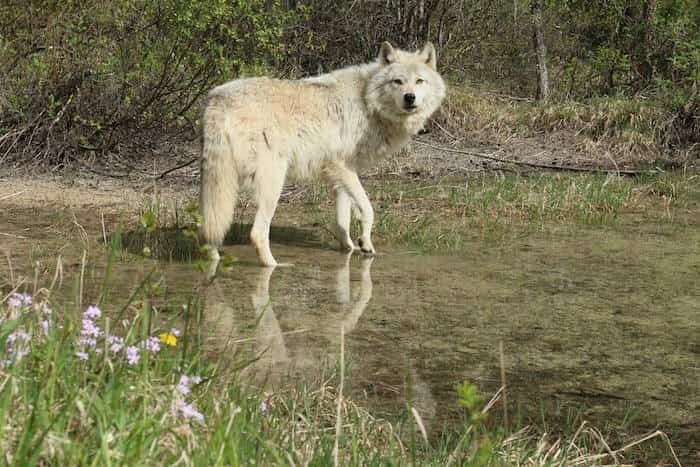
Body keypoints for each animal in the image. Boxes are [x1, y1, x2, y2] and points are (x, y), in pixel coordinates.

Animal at [200, 42, 446, 268]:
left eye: (419, 81)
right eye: (398, 81)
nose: (410, 97)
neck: (367, 101)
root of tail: (218, 99)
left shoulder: (342, 174)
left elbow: (342, 220)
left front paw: (349, 249)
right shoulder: (342, 167)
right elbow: (368, 210)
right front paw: (366, 244)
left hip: (220, 186)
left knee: (212, 229)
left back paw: (213, 259)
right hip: (272, 185)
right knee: (257, 232)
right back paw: (275, 265)